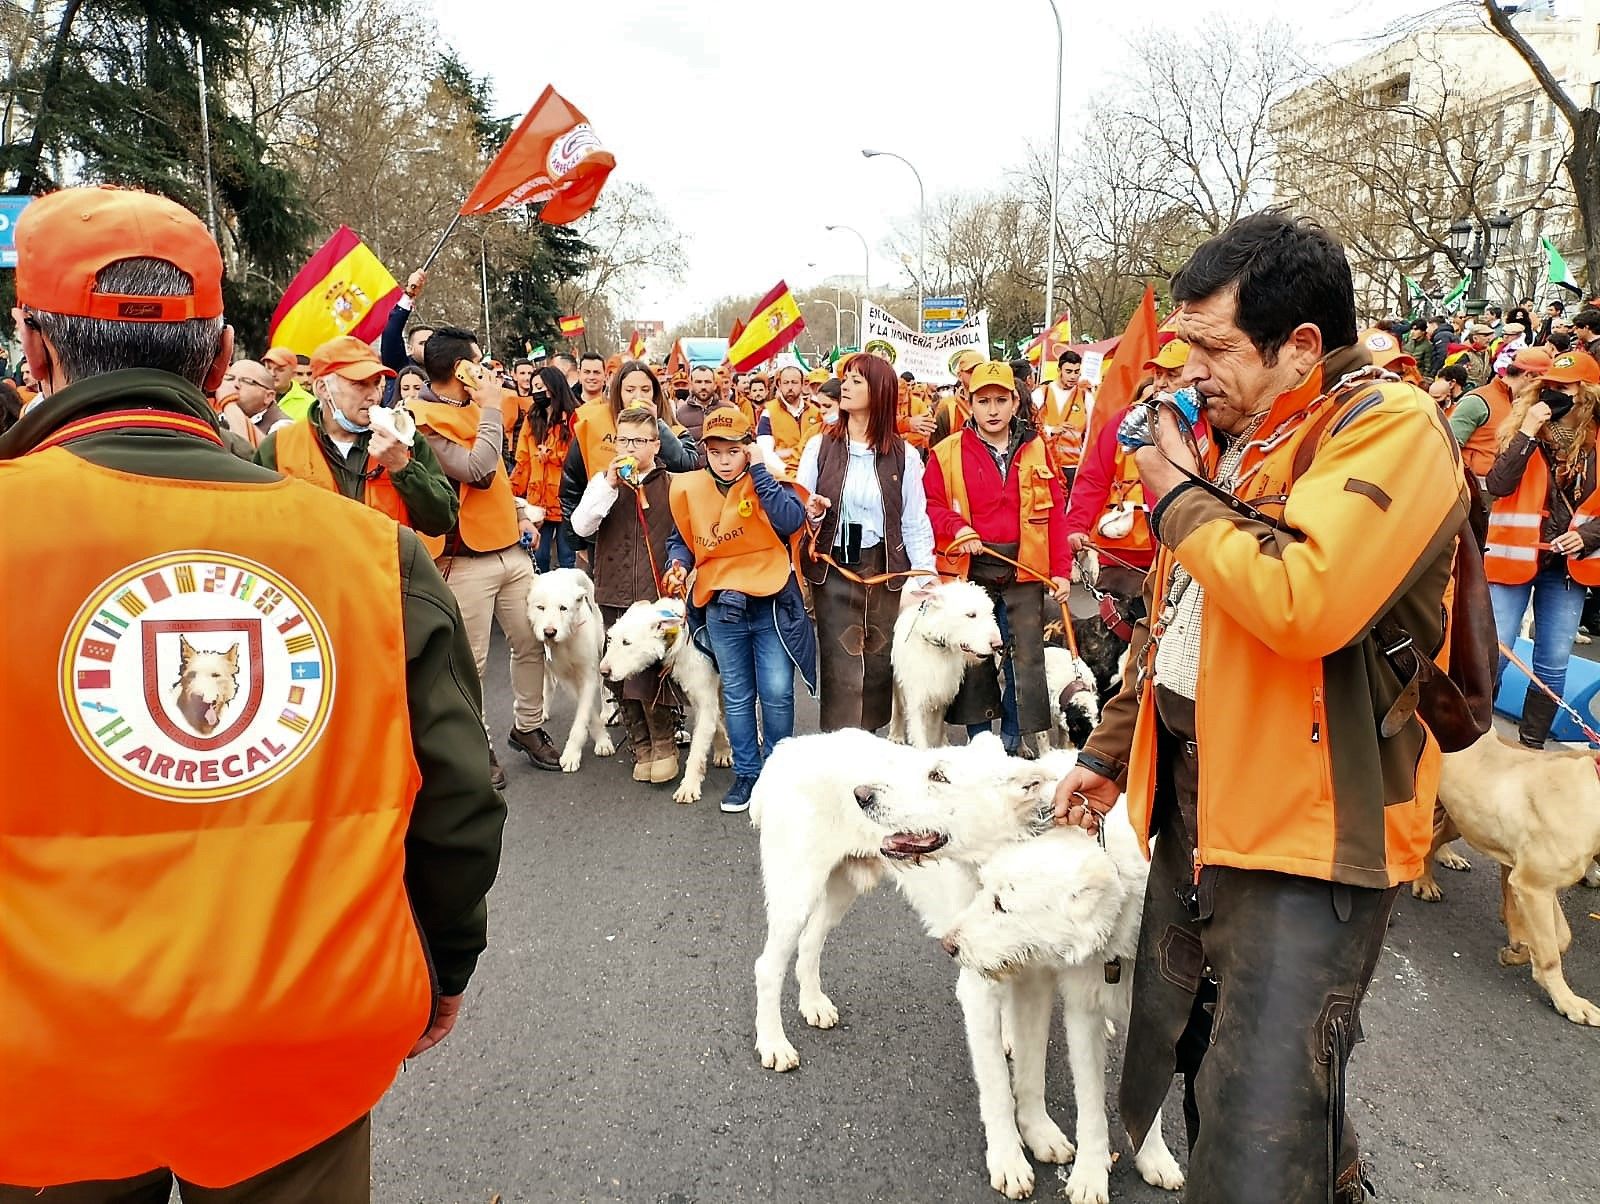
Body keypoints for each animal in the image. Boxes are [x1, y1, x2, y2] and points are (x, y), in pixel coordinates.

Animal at [524, 566, 611, 771]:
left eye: (563, 608)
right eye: (540, 608)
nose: (549, 632)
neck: (565, 642)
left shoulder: (588, 676)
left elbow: (583, 716)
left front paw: (574, 753)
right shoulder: (566, 678)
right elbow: (587, 713)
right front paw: (601, 739)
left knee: (605, 685)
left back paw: (608, 711)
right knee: (548, 685)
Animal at [598, 598, 732, 803]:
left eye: (626, 642)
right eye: (610, 639)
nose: (603, 671)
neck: (680, 641)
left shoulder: (705, 698)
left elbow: (697, 749)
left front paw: (688, 786)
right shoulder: (700, 696)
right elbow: (716, 724)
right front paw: (723, 750)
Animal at [889, 579, 998, 749]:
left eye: (990, 612)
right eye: (971, 615)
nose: (998, 644)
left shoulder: (941, 696)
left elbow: (937, 730)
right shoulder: (917, 698)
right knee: (897, 706)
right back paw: (896, 735)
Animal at [940, 800, 1184, 1204]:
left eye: (1001, 904)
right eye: (986, 890)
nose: (949, 945)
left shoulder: (1152, 1016)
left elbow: (1149, 1091)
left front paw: (1154, 1157)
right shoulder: (1082, 1011)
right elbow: (1089, 1103)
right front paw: (1090, 1175)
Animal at [1414, 730, 1600, 1031]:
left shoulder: (1538, 886)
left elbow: (1561, 939)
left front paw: (1518, 953)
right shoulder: (1533, 886)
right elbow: (1550, 953)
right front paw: (1567, 1001)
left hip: (1462, 821)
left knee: (1433, 840)